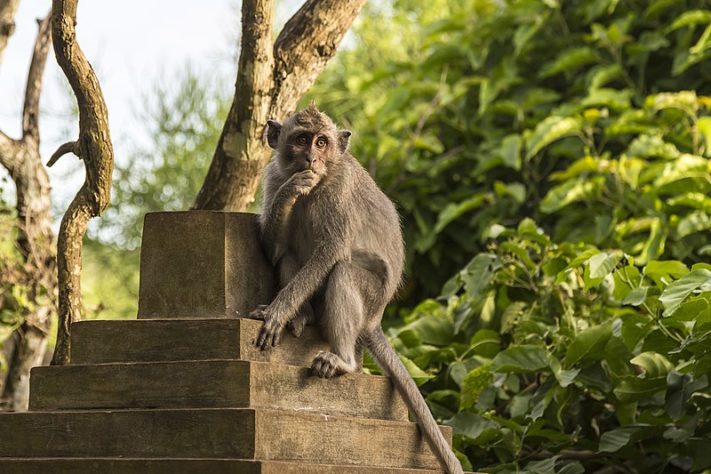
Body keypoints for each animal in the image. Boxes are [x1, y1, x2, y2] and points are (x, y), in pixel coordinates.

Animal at [248, 105, 464, 474]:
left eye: (322, 142)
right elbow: (274, 248)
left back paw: (344, 361)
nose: (311, 159)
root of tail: (376, 320)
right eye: (302, 139)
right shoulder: (273, 177)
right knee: (291, 254)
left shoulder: (339, 189)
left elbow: (333, 250)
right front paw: (293, 189)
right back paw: (303, 315)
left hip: (372, 298)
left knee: (344, 272)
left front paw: (277, 313)